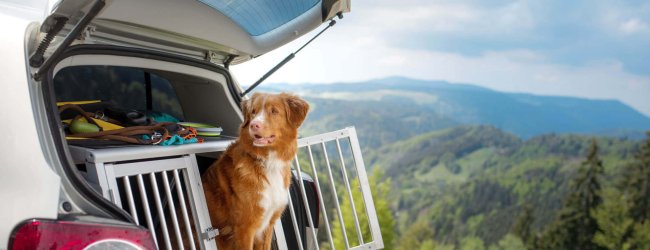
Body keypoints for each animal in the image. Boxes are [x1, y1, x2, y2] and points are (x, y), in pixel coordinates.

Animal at [200, 92, 308, 250]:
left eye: (274, 111)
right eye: (253, 112)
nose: (254, 125)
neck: (267, 161)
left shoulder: (268, 225)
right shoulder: (245, 228)